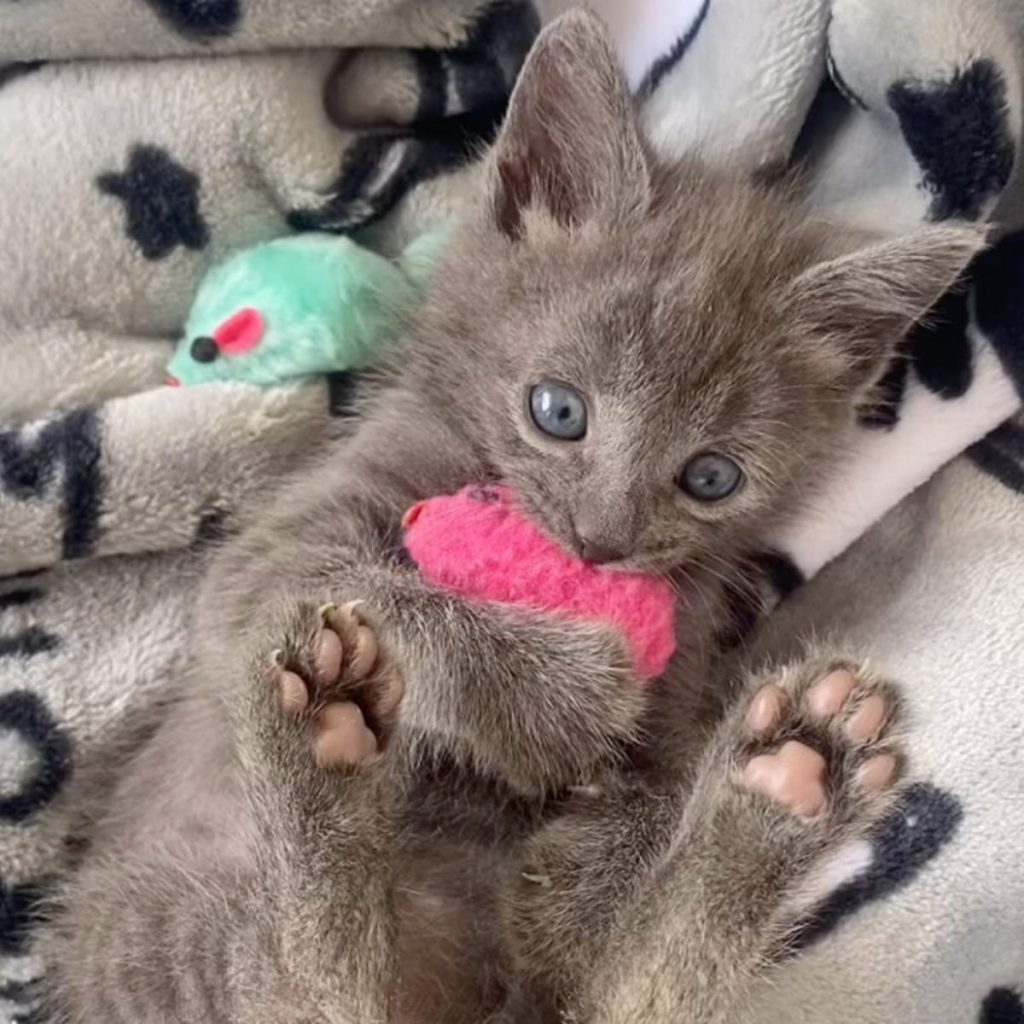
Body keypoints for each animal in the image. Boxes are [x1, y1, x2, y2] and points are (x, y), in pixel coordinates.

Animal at [41, 9, 983, 1024]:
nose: (602, 540)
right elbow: (331, 589)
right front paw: (562, 697)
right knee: (306, 991)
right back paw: (320, 750)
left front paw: (606, 815)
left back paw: (790, 780)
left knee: (616, 988)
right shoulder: (281, 548)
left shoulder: (679, 669)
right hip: (151, 926)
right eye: (558, 411)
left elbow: (631, 830)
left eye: (711, 477)